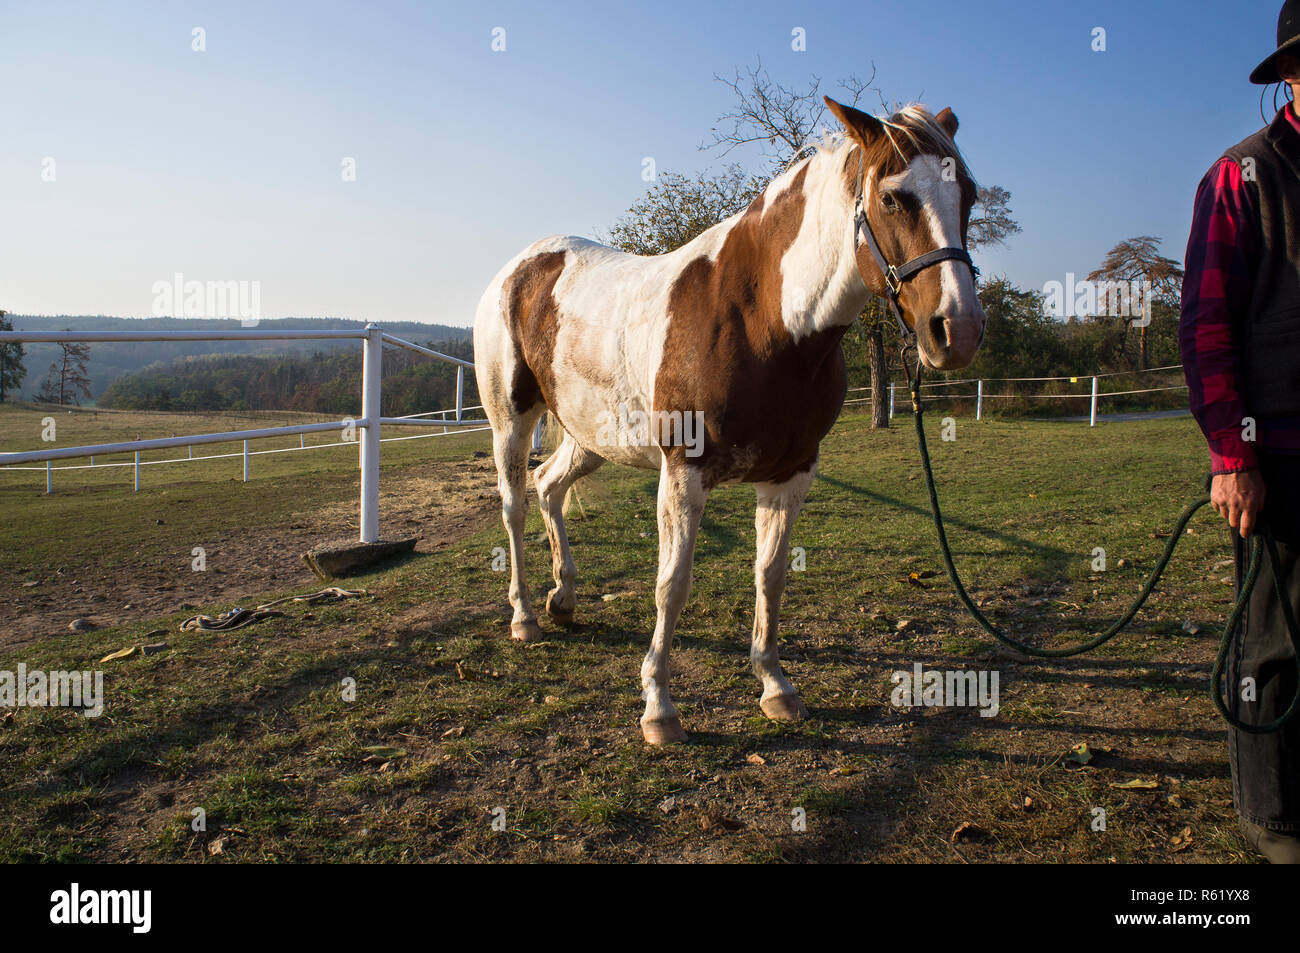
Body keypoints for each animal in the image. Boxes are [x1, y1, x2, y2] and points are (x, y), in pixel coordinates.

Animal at [473, 100, 977, 748]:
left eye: (969, 195)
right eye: (893, 198)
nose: (957, 329)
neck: (761, 315)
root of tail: (519, 269)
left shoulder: (791, 474)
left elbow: (771, 575)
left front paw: (776, 686)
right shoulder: (683, 473)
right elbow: (672, 584)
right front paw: (659, 708)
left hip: (592, 438)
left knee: (549, 487)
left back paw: (563, 598)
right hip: (511, 424)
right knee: (514, 505)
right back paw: (525, 616)